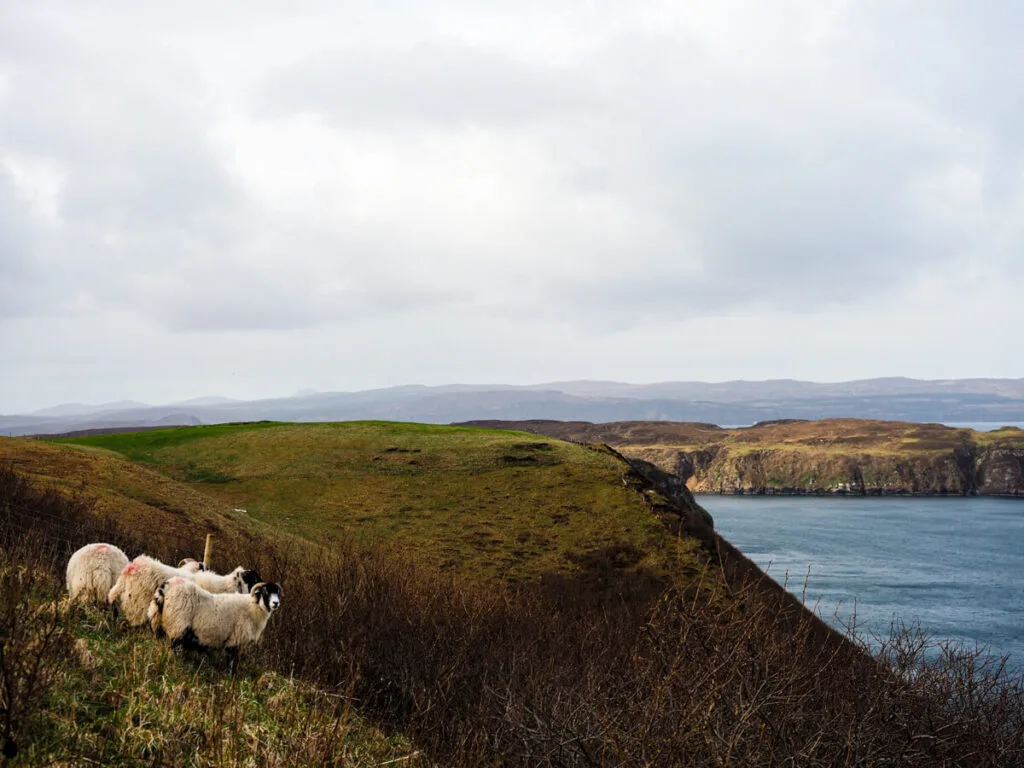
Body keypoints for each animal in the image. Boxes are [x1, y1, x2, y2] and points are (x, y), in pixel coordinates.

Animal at [148, 577, 280, 671]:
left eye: (278, 593)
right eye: (265, 592)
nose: (276, 603)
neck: (252, 607)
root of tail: (167, 586)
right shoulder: (234, 640)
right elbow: (232, 663)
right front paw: (231, 680)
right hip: (177, 627)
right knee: (173, 650)